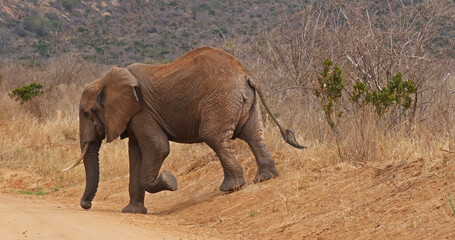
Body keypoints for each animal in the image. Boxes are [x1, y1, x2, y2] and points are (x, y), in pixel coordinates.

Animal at [63, 47, 306, 214]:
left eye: (86, 114)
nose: (86, 205)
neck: (106, 80)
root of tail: (246, 73)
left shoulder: (142, 111)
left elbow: (158, 148)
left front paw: (169, 180)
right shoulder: (134, 116)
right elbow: (136, 154)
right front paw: (132, 212)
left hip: (221, 99)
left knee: (215, 137)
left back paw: (230, 188)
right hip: (245, 101)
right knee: (253, 134)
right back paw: (265, 178)